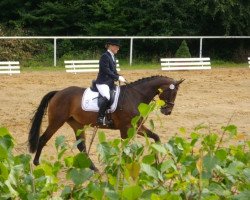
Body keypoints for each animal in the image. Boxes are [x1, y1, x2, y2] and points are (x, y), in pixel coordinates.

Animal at [28, 76, 184, 170]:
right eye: (172, 92)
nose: (167, 111)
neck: (135, 96)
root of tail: (58, 92)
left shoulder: (136, 127)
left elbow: (155, 137)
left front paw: (157, 163)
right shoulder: (125, 128)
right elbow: (125, 146)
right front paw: (124, 165)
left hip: (77, 124)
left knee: (81, 146)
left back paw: (93, 168)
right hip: (57, 121)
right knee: (43, 139)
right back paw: (36, 163)